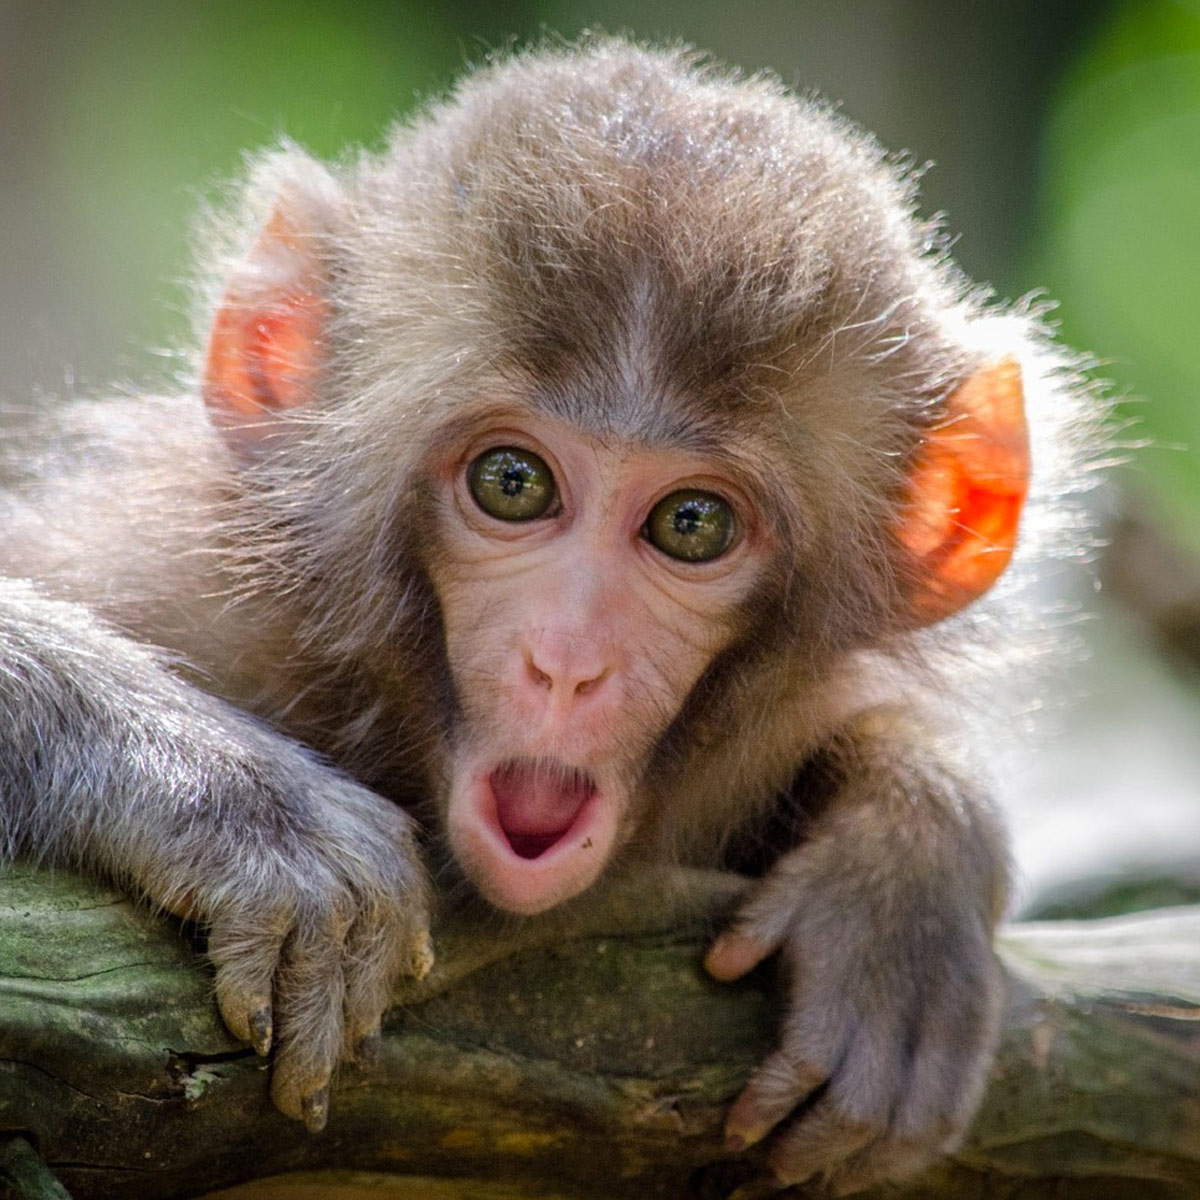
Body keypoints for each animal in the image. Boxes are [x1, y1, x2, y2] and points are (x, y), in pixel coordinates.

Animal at [0, 37, 1102, 1194]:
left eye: (693, 524)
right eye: (514, 483)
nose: (567, 661)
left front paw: (907, 865)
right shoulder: (164, 579)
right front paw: (232, 797)